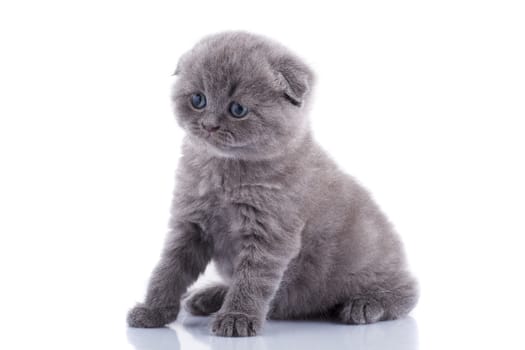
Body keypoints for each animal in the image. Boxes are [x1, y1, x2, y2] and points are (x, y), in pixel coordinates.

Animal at [127, 32, 418, 336]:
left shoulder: (269, 234)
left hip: (373, 261)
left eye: (238, 109)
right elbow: (168, 270)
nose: (208, 125)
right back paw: (210, 296)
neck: (224, 174)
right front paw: (152, 311)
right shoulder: (190, 225)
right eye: (198, 99)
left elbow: (251, 280)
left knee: (408, 291)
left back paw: (366, 304)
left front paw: (237, 317)